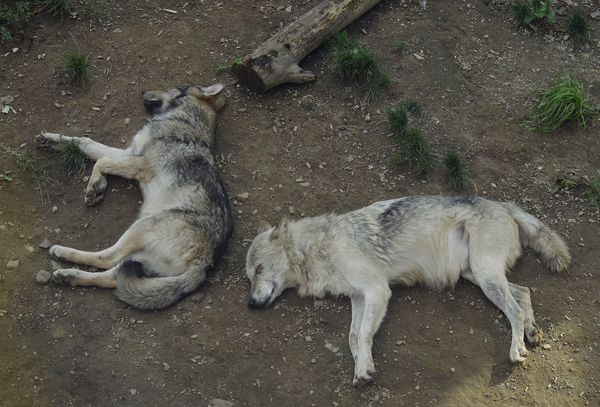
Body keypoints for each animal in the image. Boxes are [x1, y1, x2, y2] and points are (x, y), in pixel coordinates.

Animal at [35, 84, 232, 310]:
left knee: (107, 258)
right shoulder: (130, 152)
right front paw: (50, 140)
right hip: (139, 258)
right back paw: (67, 275)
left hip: (142, 226)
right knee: (112, 277)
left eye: (175, 87)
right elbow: (89, 145)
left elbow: (101, 160)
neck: (185, 120)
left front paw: (95, 186)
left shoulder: (140, 163)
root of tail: (205, 263)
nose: (143, 91)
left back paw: (61, 253)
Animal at [245, 196, 572, 388]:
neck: (317, 248)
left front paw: (363, 370)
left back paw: (517, 349)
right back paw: (532, 331)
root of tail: (503, 204)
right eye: (249, 276)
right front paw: (363, 366)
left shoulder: (377, 291)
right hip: (478, 276)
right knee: (524, 292)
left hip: (486, 276)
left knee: (514, 309)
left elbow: (362, 335)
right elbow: (353, 337)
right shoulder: (359, 296)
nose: (249, 304)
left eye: (258, 269)